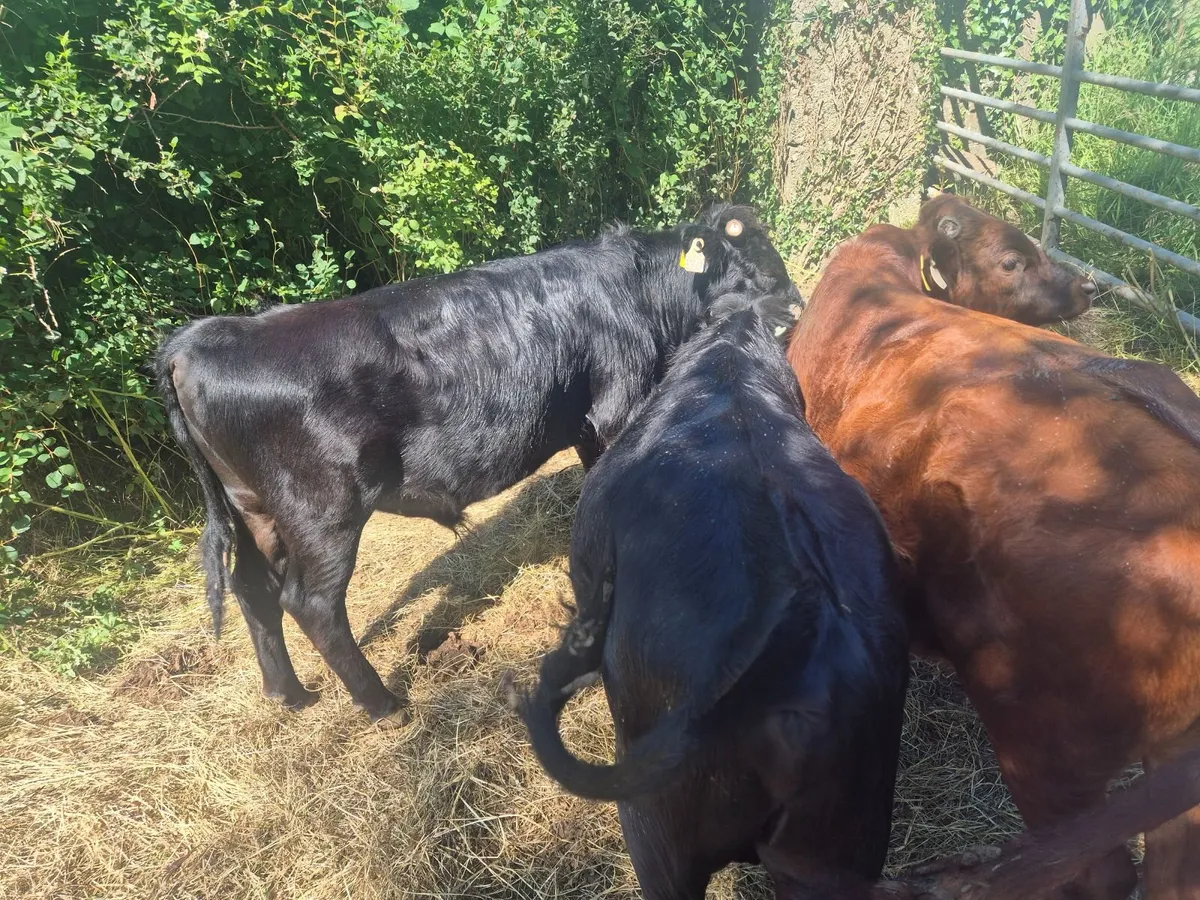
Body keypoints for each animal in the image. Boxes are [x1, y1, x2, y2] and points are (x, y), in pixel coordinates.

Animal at [156, 206, 800, 723]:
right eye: (739, 259)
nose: (794, 303)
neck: (638, 292)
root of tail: (201, 338)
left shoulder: (587, 426)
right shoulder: (618, 405)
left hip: (254, 511)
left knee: (253, 589)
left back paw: (287, 693)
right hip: (321, 511)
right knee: (311, 604)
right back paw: (383, 704)